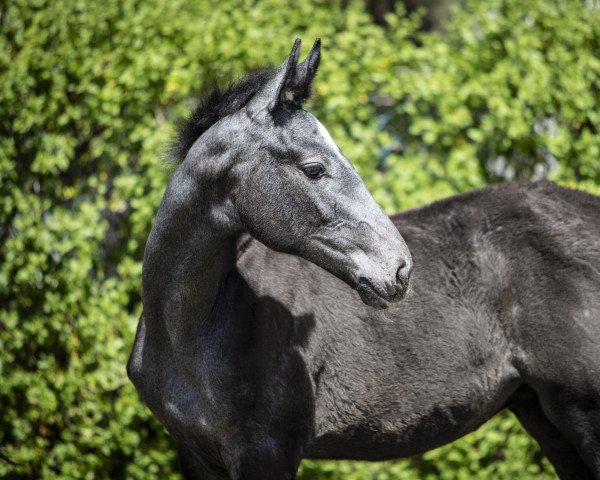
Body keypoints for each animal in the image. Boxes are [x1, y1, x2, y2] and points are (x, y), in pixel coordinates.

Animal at [127, 39, 600, 478]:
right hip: (544, 416)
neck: (190, 333)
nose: (400, 269)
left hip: (581, 409)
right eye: (314, 168)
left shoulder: (267, 451)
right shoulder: (197, 455)